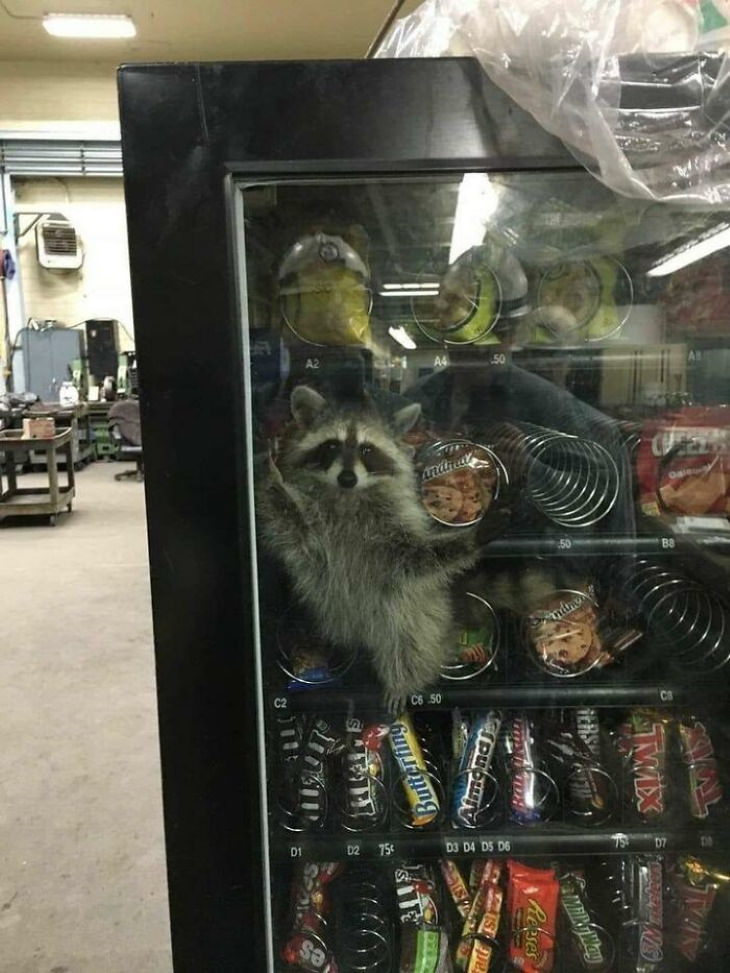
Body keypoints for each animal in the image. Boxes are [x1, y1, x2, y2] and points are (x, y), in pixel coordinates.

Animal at [253, 384, 480, 712]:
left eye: (366, 450)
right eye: (332, 445)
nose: (347, 477)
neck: (348, 496)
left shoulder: (392, 526)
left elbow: (415, 557)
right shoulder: (313, 532)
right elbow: (291, 528)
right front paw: (270, 476)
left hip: (415, 612)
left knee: (407, 638)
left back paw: (401, 681)